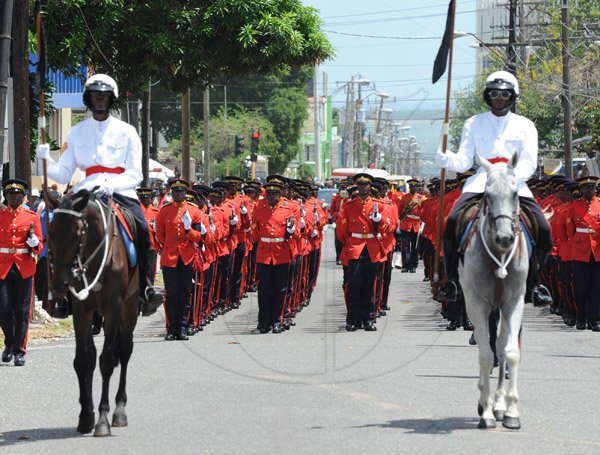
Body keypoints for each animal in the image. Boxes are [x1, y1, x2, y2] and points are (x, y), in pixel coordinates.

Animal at [48, 190, 139, 438]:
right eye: (50, 233)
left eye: (75, 234)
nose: (59, 286)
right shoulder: (82, 309)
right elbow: (83, 360)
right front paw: (85, 417)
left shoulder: (114, 307)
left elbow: (107, 361)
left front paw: (102, 420)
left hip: (130, 308)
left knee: (124, 351)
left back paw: (119, 410)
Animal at [458, 154, 528, 432]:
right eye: (487, 195)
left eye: (515, 192)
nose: (505, 238)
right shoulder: (476, 304)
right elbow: (485, 356)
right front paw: (486, 411)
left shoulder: (514, 302)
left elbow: (511, 352)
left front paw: (510, 411)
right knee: (486, 346)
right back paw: (485, 401)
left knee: (499, 345)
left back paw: (499, 403)